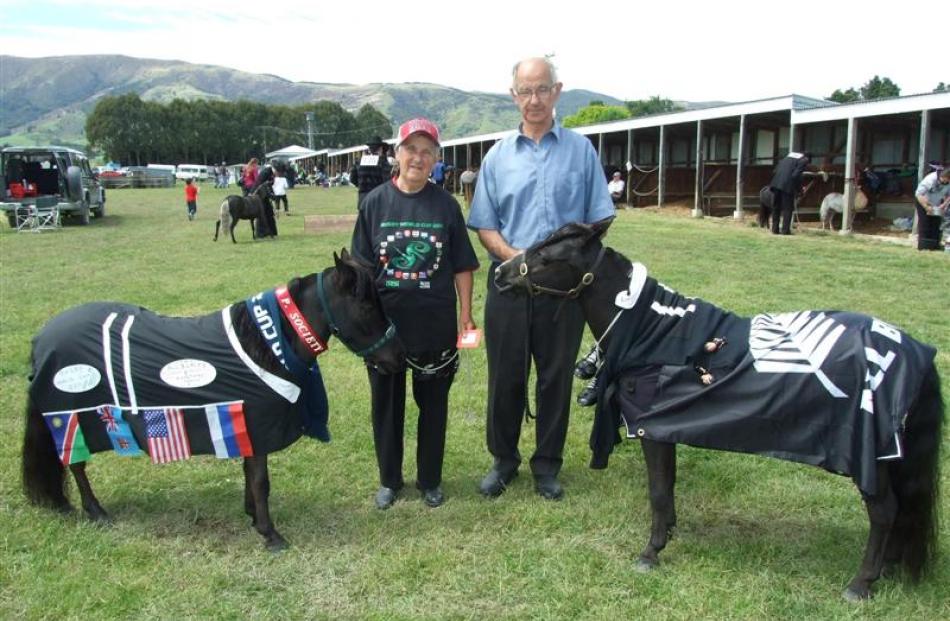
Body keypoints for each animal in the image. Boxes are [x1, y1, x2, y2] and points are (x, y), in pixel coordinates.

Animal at [22, 249, 402, 548]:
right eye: (366, 306)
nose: (396, 359)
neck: (267, 345)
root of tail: (42, 339)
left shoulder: (246, 427)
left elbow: (251, 475)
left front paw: (252, 516)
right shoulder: (257, 426)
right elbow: (260, 480)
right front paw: (270, 534)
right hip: (71, 419)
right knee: (76, 464)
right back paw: (96, 511)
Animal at [498, 219, 944, 600]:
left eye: (550, 256)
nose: (502, 273)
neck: (655, 334)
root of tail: (910, 352)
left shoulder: (649, 431)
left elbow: (658, 491)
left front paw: (650, 553)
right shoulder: (665, 430)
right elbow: (668, 487)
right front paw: (668, 534)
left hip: (870, 460)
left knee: (884, 511)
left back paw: (861, 584)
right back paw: (887, 569)